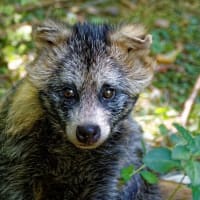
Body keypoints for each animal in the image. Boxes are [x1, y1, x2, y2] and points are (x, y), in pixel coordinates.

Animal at [0, 19, 161, 199]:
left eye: (108, 92)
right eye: (68, 92)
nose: (88, 131)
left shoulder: (117, 165)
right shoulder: (16, 153)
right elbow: (14, 188)